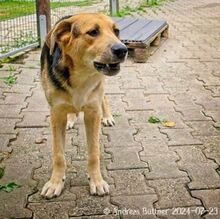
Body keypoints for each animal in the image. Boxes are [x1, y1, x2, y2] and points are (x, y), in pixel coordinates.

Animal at [39, 13, 127, 198]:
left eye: (116, 31)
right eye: (93, 32)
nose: (122, 50)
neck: (81, 76)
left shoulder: (93, 113)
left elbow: (94, 154)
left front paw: (96, 181)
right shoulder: (56, 114)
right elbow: (58, 155)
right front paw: (55, 182)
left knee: (104, 98)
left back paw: (107, 117)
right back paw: (72, 118)